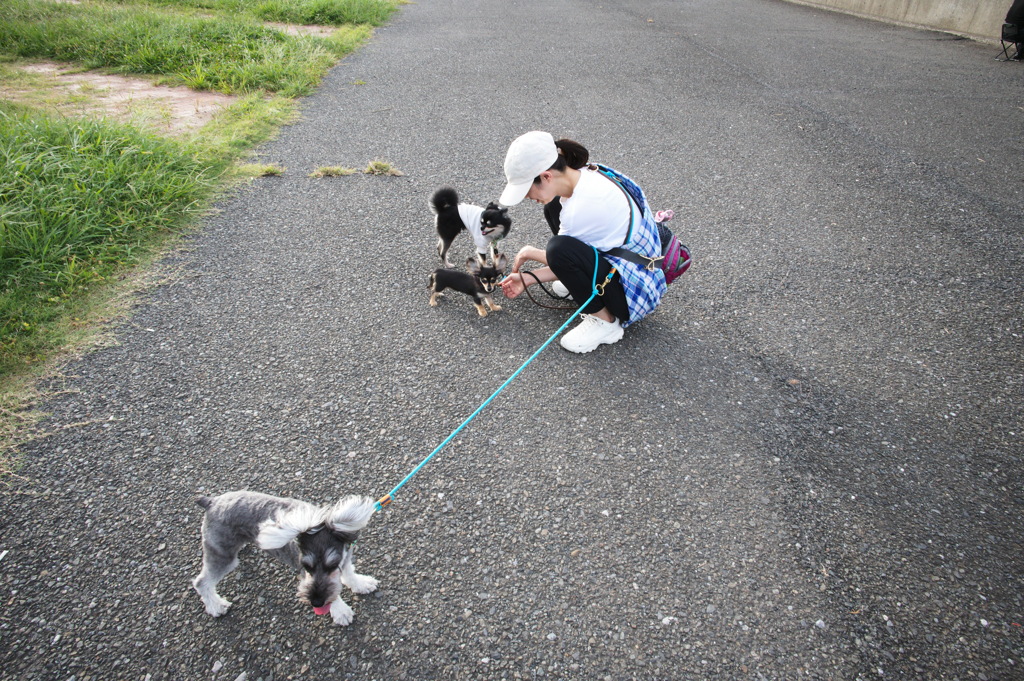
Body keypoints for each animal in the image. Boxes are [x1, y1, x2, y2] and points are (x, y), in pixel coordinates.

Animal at [190, 489, 378, 626]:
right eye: (306, 567)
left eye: (332, 565)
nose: (316, 602)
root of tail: (211, 502)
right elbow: (333, 594)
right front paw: (341, 611)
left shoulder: (345, 558)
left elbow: (349, 573)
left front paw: (361, 584)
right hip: (222, 555)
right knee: (201, 582)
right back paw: (216, 606)